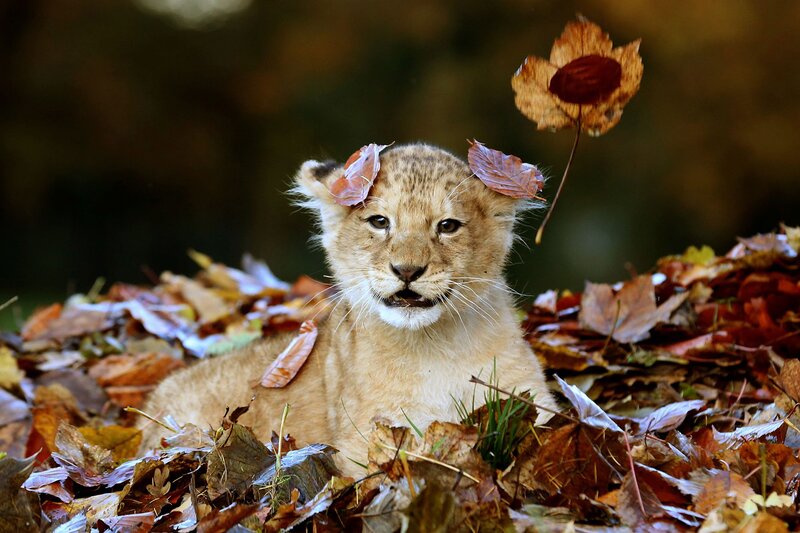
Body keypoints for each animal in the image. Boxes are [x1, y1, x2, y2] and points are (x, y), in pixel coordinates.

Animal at [138, 144, 557, 476]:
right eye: (379, 221)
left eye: (448, 225)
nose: (407, 270)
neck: (433, 346)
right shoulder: (362, 446)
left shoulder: (536, 405)